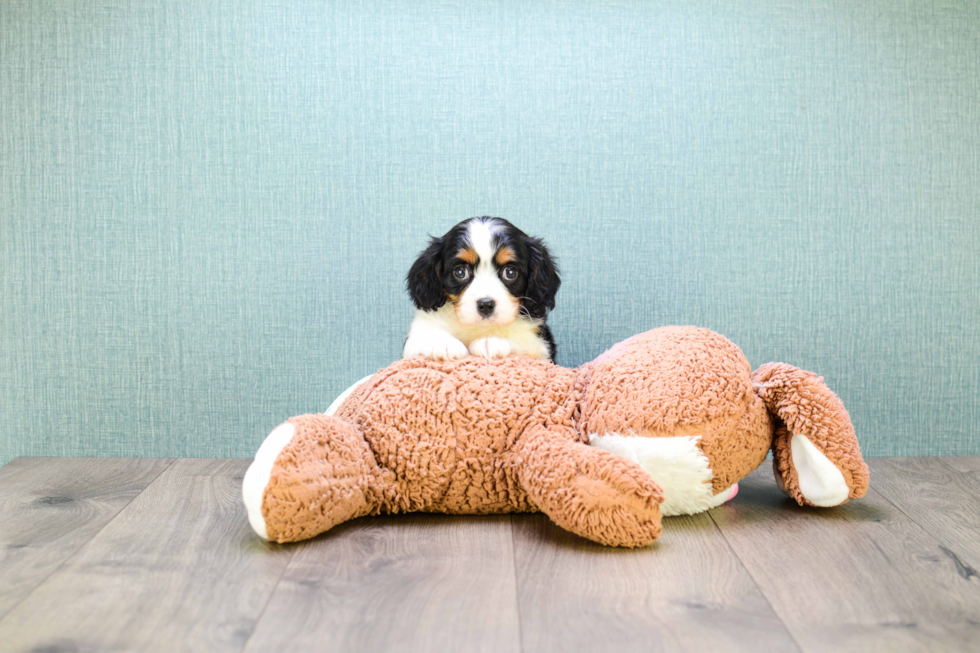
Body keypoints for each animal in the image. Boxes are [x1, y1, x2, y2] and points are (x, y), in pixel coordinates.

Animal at [404, 218, 560, 362]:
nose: (485, 304)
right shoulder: (417, 333)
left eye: (510, 272)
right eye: (460, 272)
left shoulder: (539, 345)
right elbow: (426, 332)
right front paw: (444, 343)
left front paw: (491, 340)